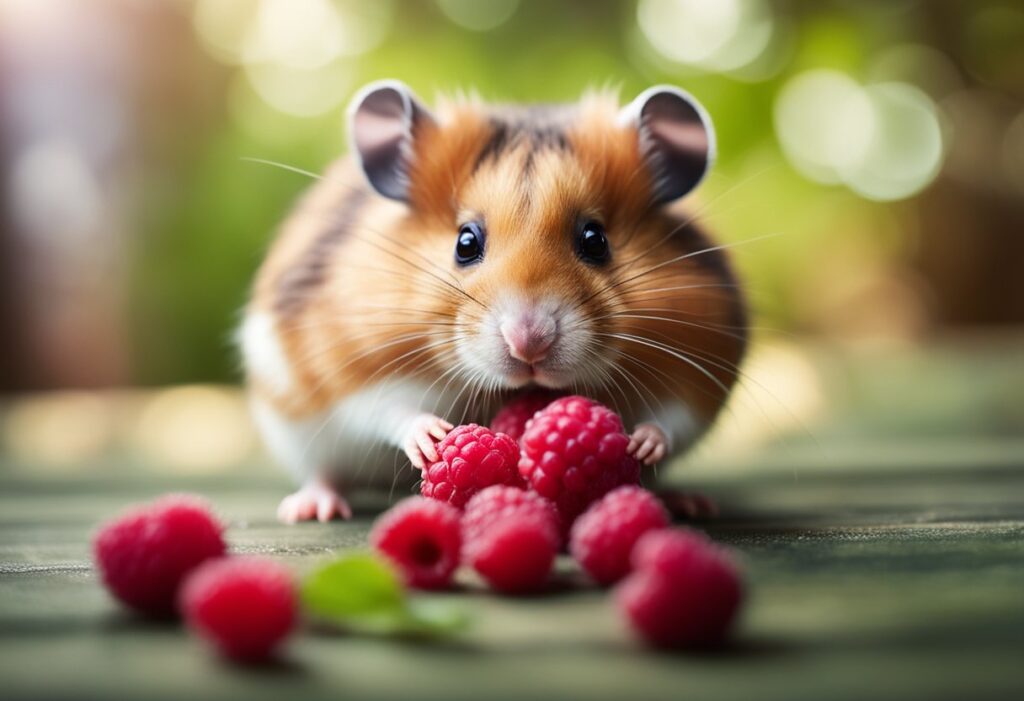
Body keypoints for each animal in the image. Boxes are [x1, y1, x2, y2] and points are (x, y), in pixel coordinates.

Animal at [239, 81, 746, 523]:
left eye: (595, 240)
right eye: (465, 242)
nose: (529, 343)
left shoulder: (696, 375)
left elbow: (670, 421)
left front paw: (642, 443)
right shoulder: (353, 371)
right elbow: (389, 410)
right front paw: (435, 438)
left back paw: (688, 502)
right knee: (324, 472)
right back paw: (311, 509)